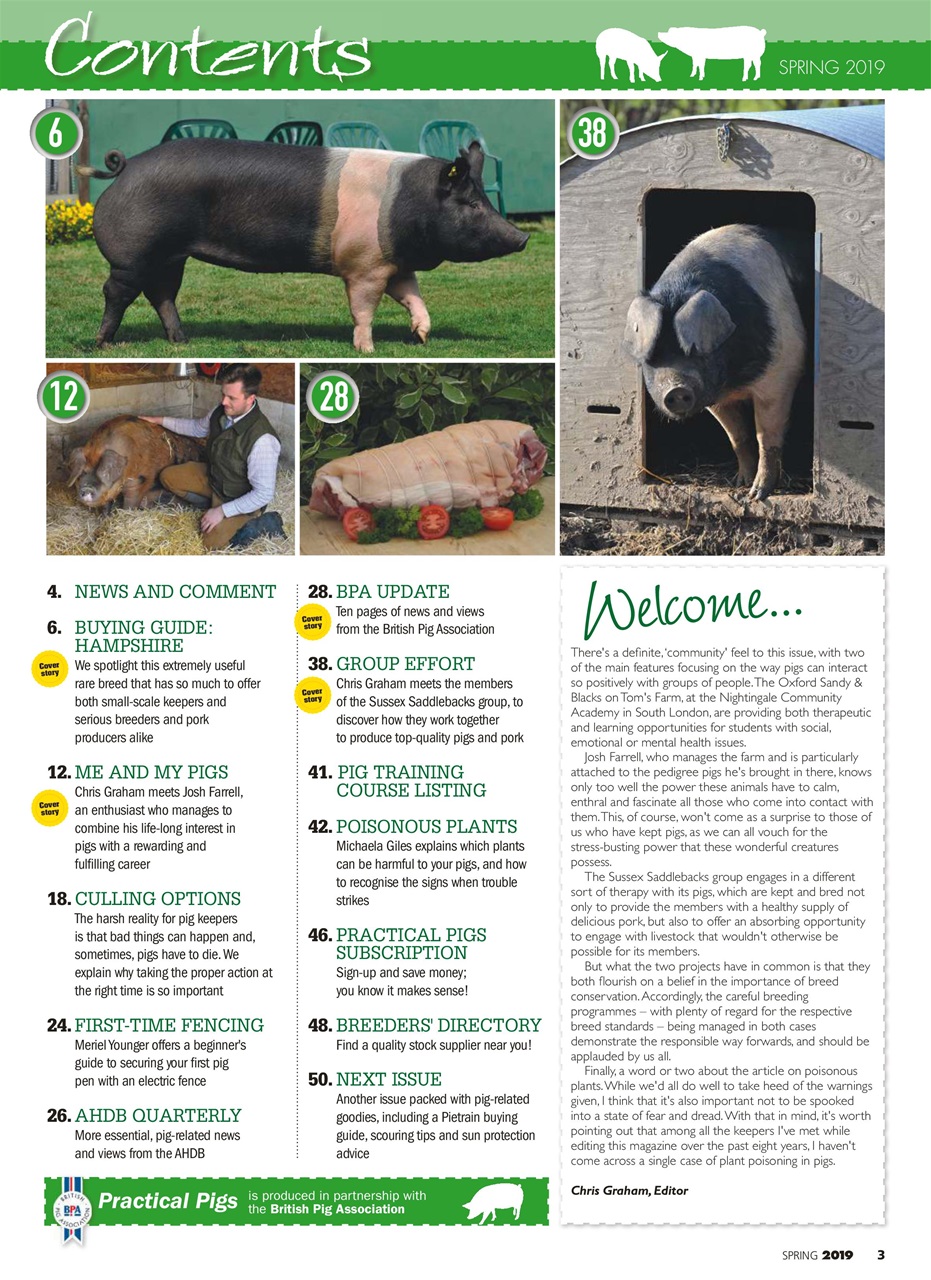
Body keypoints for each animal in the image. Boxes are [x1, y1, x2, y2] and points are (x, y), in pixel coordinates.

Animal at [66, 416, 203, 509]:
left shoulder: (139, 480)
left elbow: (131, 501)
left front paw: (126, 513)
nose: (87, 488)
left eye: (103, 473)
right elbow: (106, 504)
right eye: (83, 473)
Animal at [77, 139, 529, 353]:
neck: (407, 204)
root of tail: (126, 166)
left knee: (162, 294)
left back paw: (182, 341)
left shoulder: (394, 264)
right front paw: (367, 350)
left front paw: (421, 337)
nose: (522, 236)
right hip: (134, 253)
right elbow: (364, 308)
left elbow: (413, 297)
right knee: (117, 292)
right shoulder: (364, 265)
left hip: (172, 256)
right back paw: (103, 343)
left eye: (485, 201)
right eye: (472, 204)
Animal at [624, 225, 808, 501]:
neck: (735, 382)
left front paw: (756, 495)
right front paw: (740, 483)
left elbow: (766, 436)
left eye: (697, 351)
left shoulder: (784, 369)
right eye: (653, 356)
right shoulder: (715, 398)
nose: (675, 389)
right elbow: (737, 436)